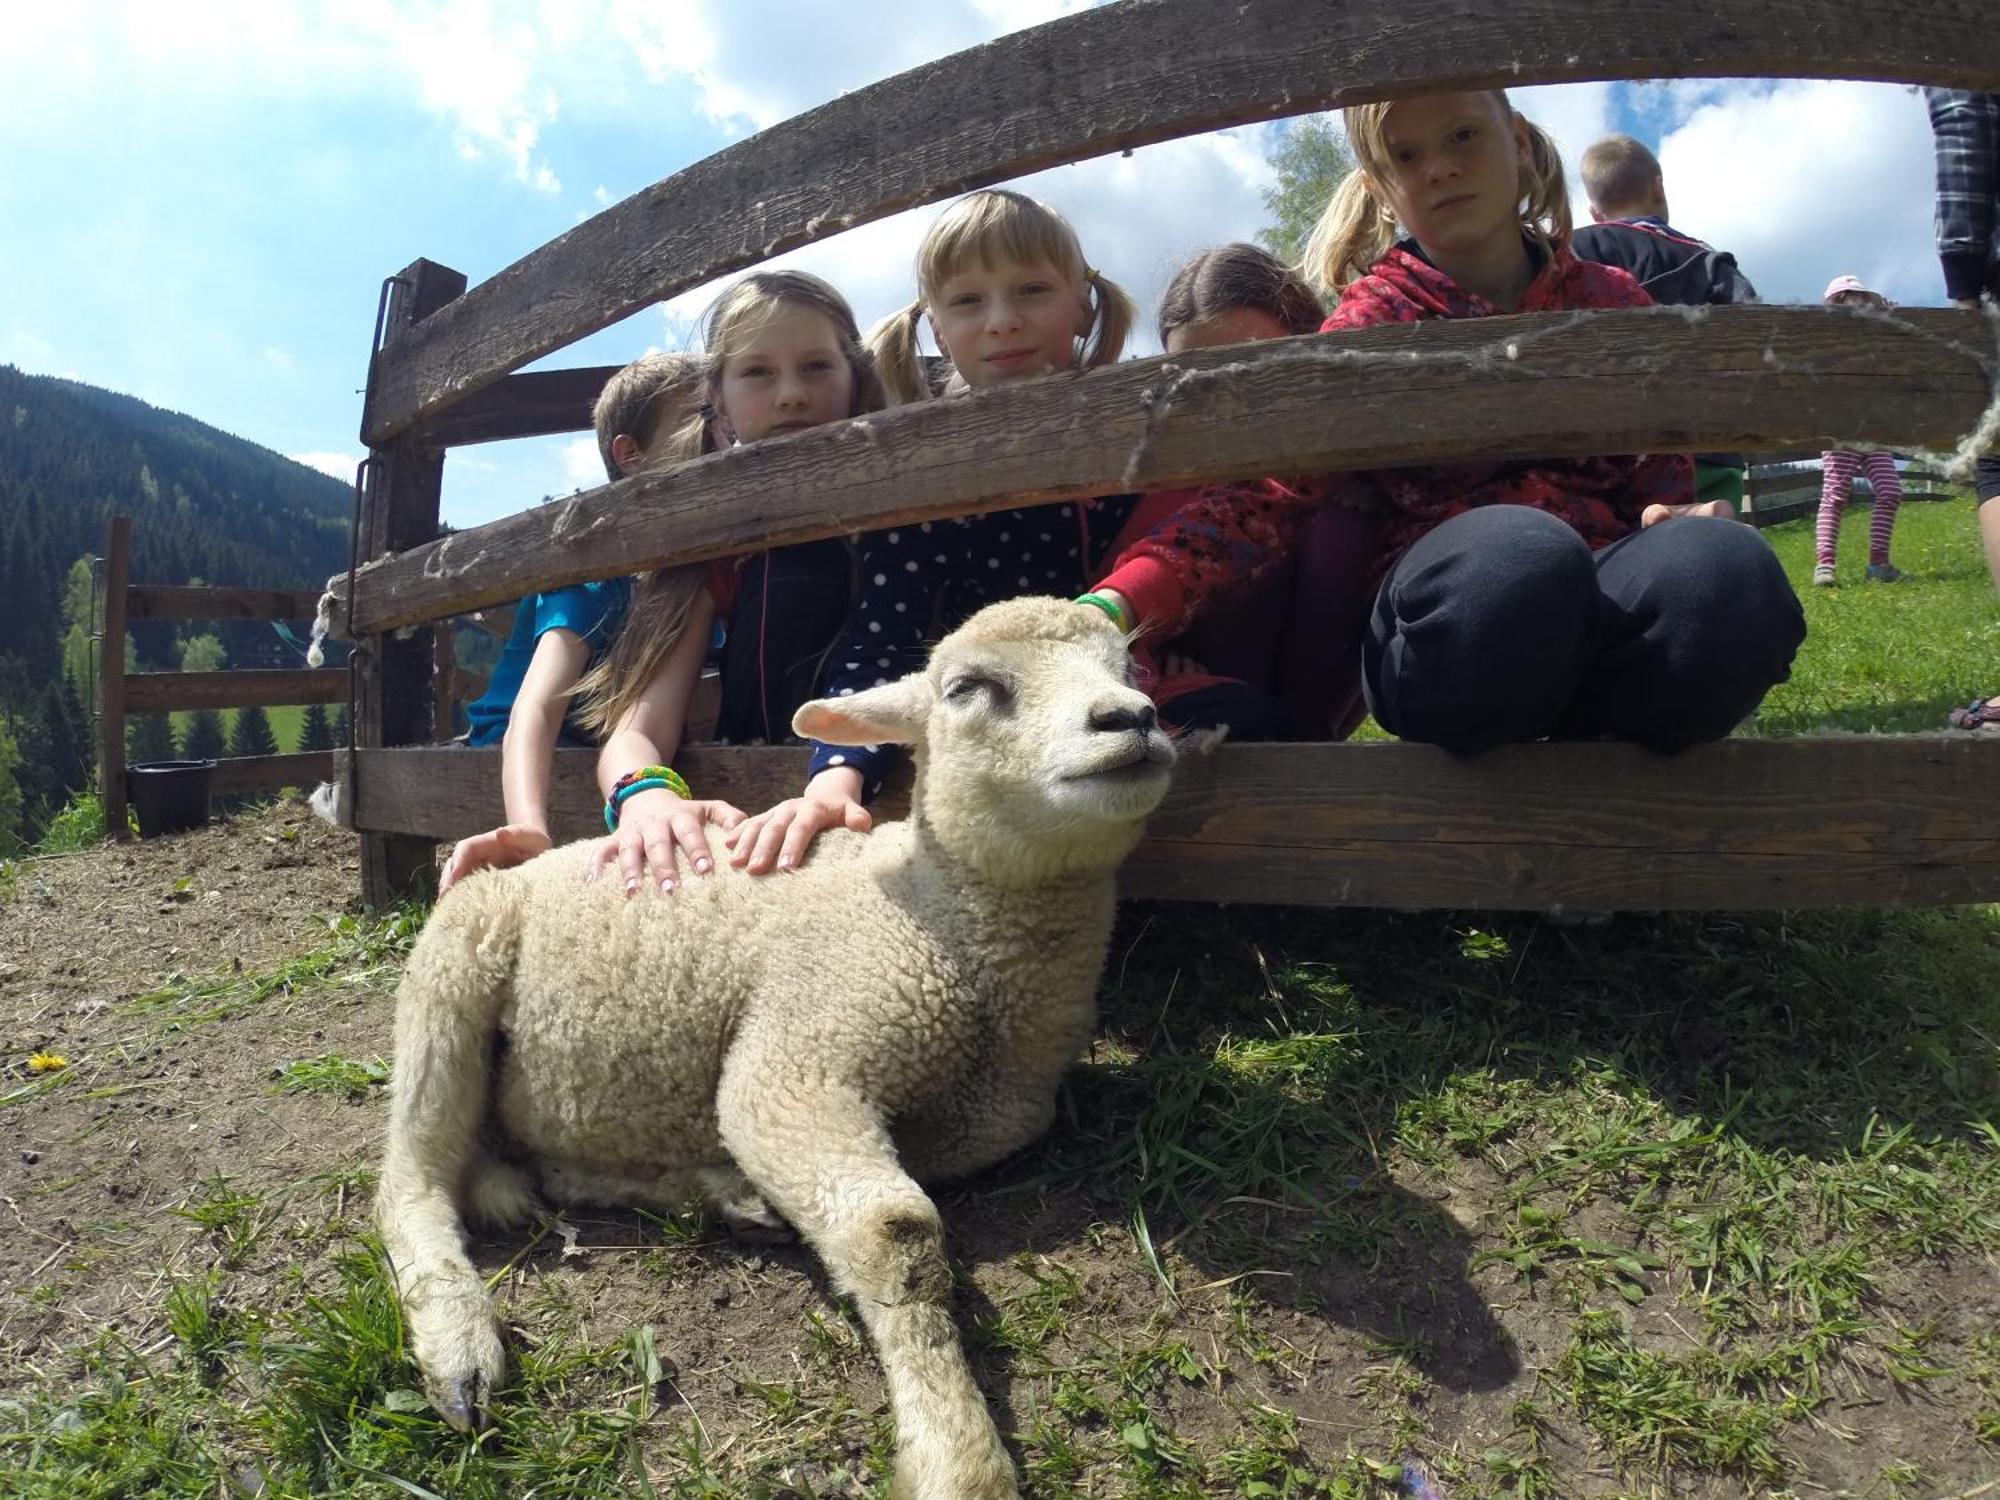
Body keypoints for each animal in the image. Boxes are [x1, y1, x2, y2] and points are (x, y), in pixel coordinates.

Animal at [376, 600, 1168, 1500]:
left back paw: (723, 1195)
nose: (1132, 719)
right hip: (451, 976)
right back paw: (459, 1343)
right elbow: (899, 1236)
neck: (939, 921)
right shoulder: (800, 1059)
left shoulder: (992, 1110)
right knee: (411, 1181)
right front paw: (959, 1455)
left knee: (557, 1165)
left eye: (1130, 668)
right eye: (969, 687)